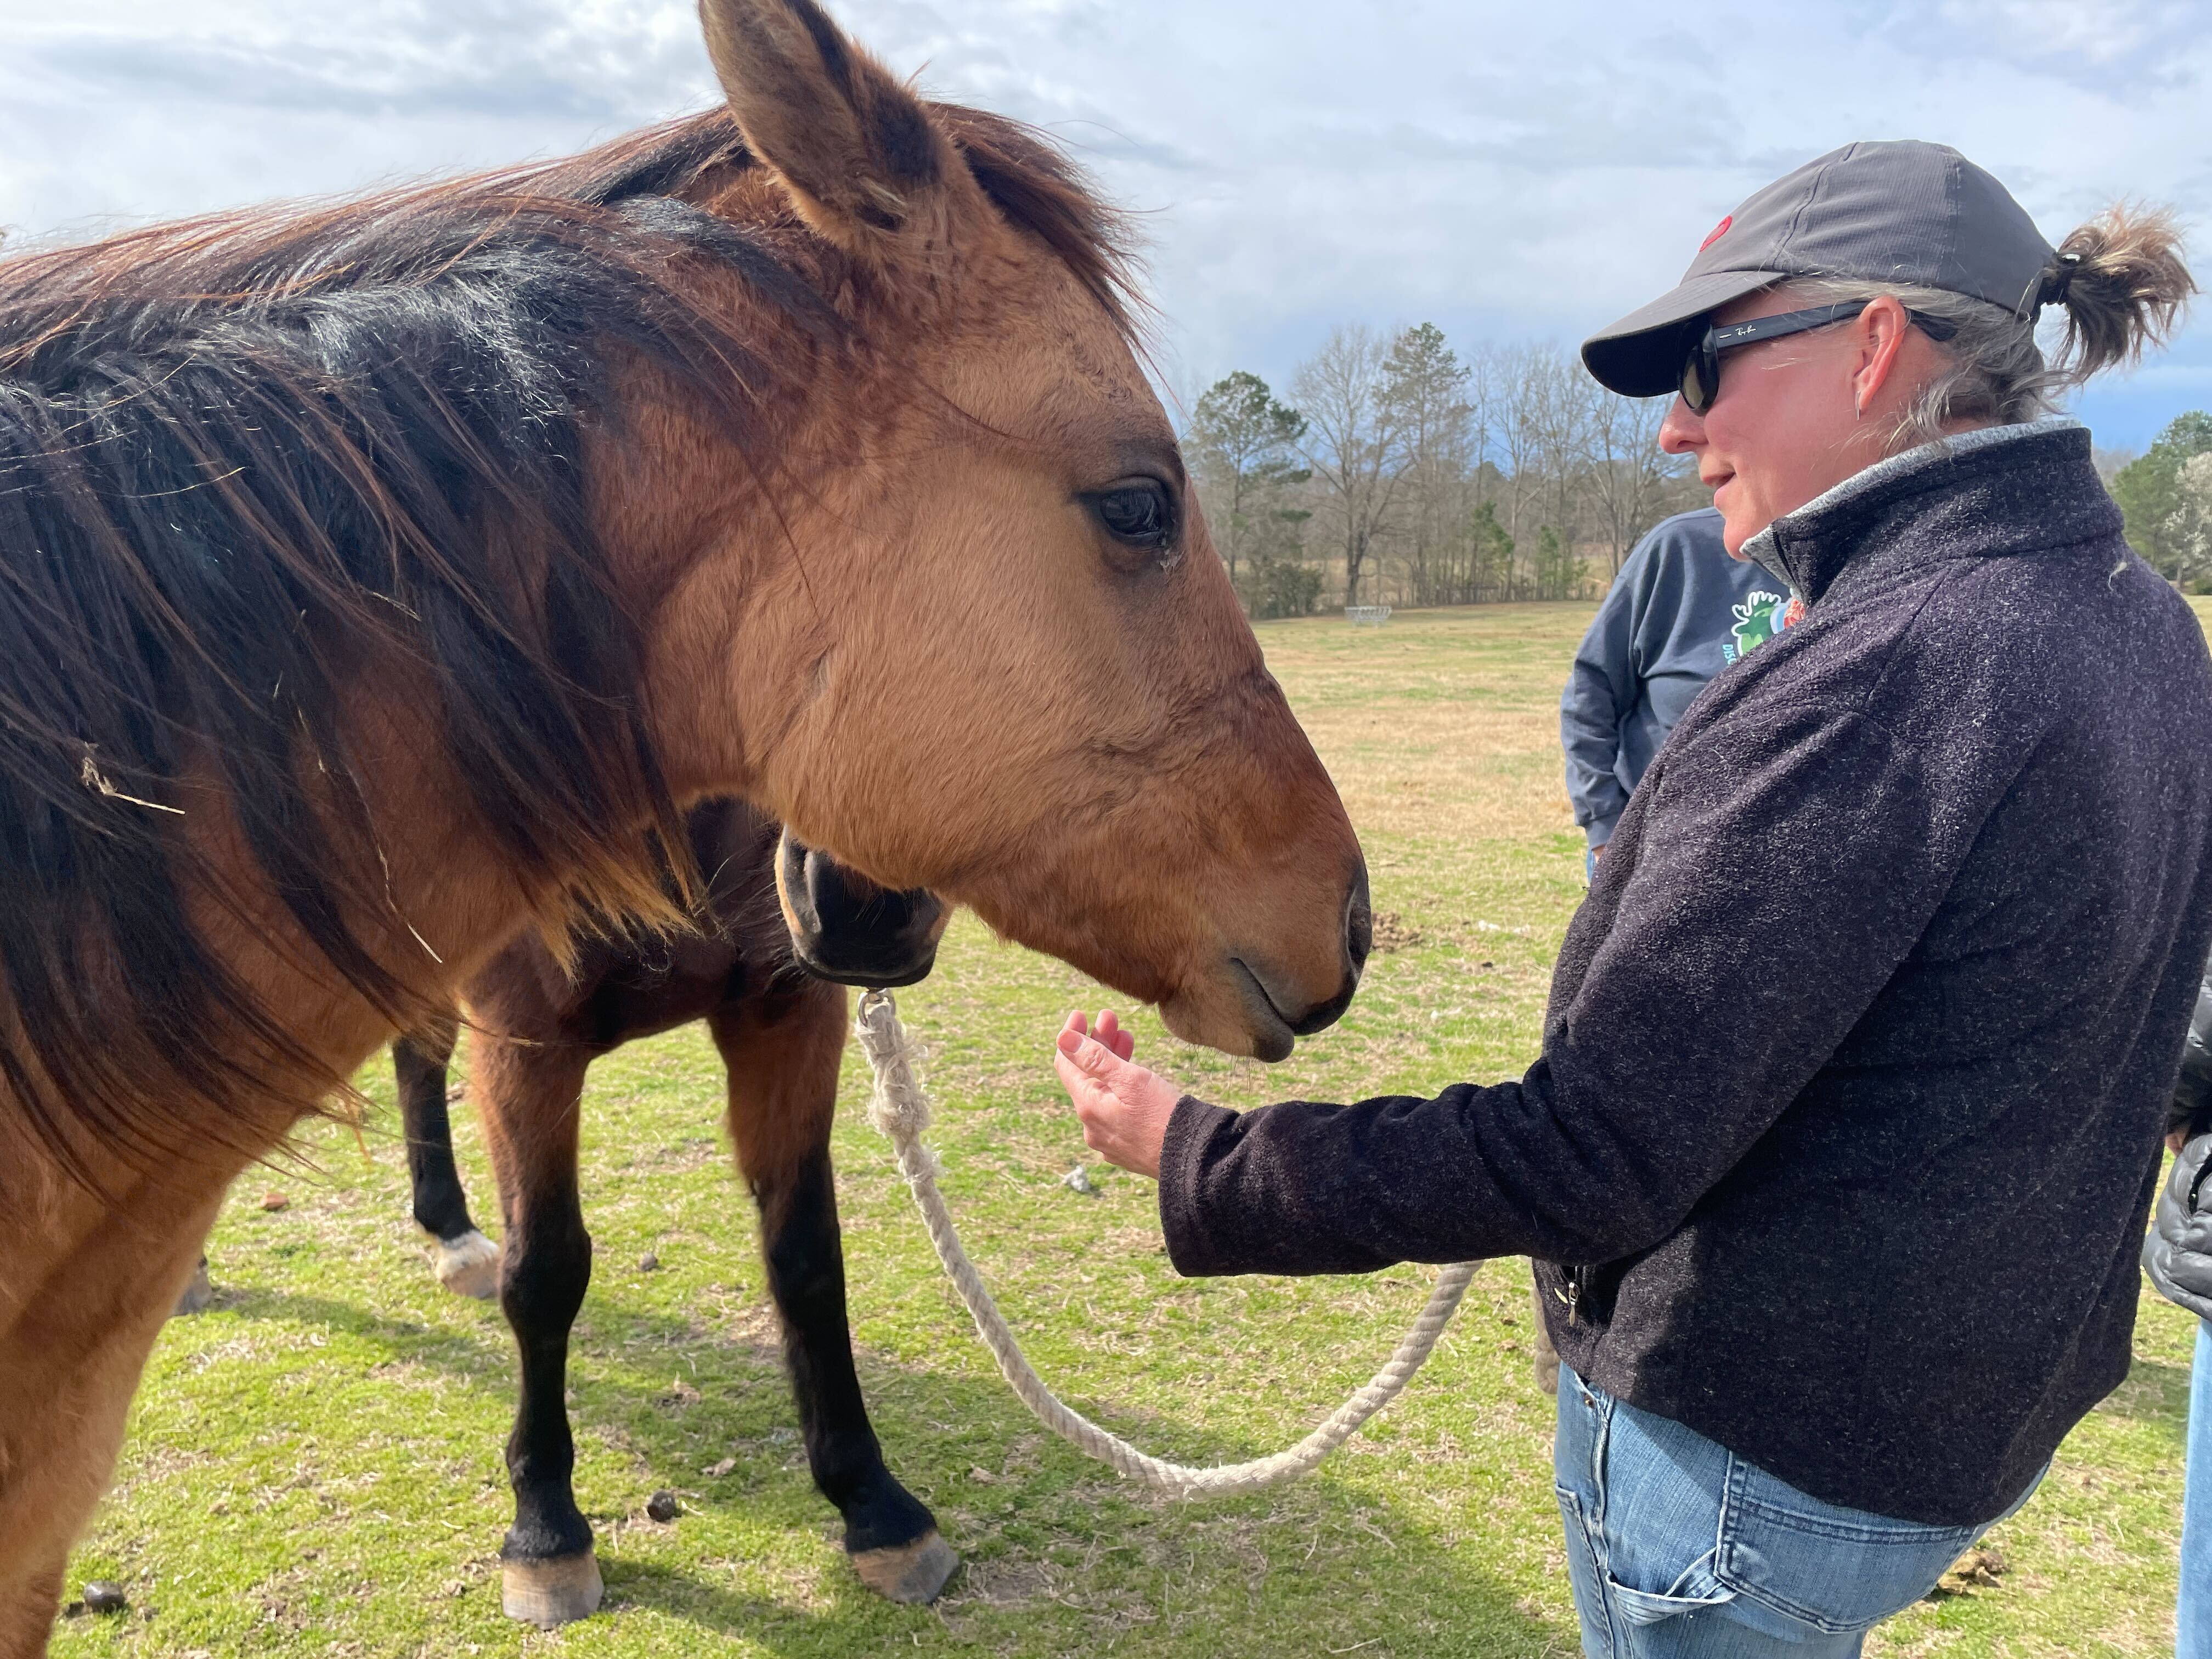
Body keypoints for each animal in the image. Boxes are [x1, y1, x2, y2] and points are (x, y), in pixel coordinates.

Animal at [390, 800, 953, 1624]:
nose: (870, 904)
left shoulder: (787, 1011)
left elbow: (807, 1257)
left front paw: (874, 1506)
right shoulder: (527, 1039)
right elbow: (546, 1274)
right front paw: (546, 1530)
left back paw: (451, 1230)